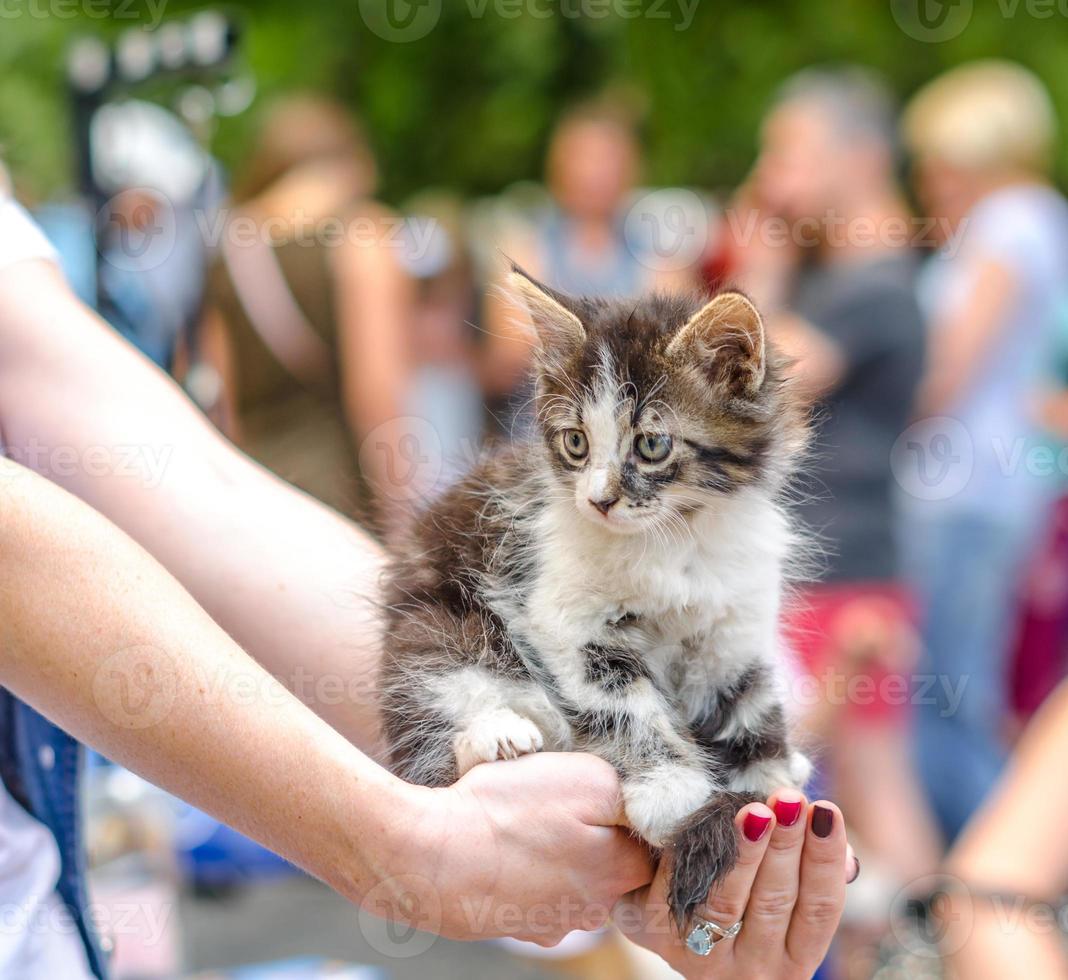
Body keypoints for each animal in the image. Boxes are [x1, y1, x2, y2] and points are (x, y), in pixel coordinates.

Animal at [382, 270, 807, 935]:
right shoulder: (564, 620)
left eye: (652, 444)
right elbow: (626, 705)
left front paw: (769, 781)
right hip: (432, 628)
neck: (675, 543)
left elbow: (750, 707)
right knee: (431, 741)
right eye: (576, 442)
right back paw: (495, 736)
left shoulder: (731, 633)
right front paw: (672, 793)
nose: (599, 500)